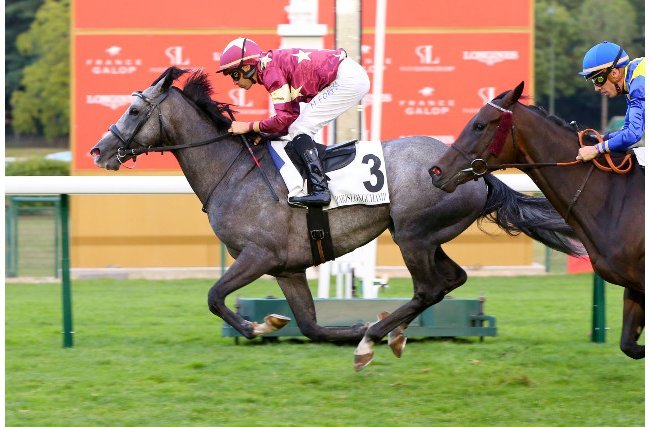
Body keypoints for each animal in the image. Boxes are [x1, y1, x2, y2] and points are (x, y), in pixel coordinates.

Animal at [91, 68, 583, 370]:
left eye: (134, 110)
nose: (99, 150)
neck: (234, 171)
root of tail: (473, 171)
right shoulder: (287, 268)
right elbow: (310, 325)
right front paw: (296, 326)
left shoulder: (257, 255)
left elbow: (214, 297)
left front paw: (256, 326)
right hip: (425, 237)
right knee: (451, 279)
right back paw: (384, 332)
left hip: (412, 235)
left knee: (430, 287)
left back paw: (377, 335)